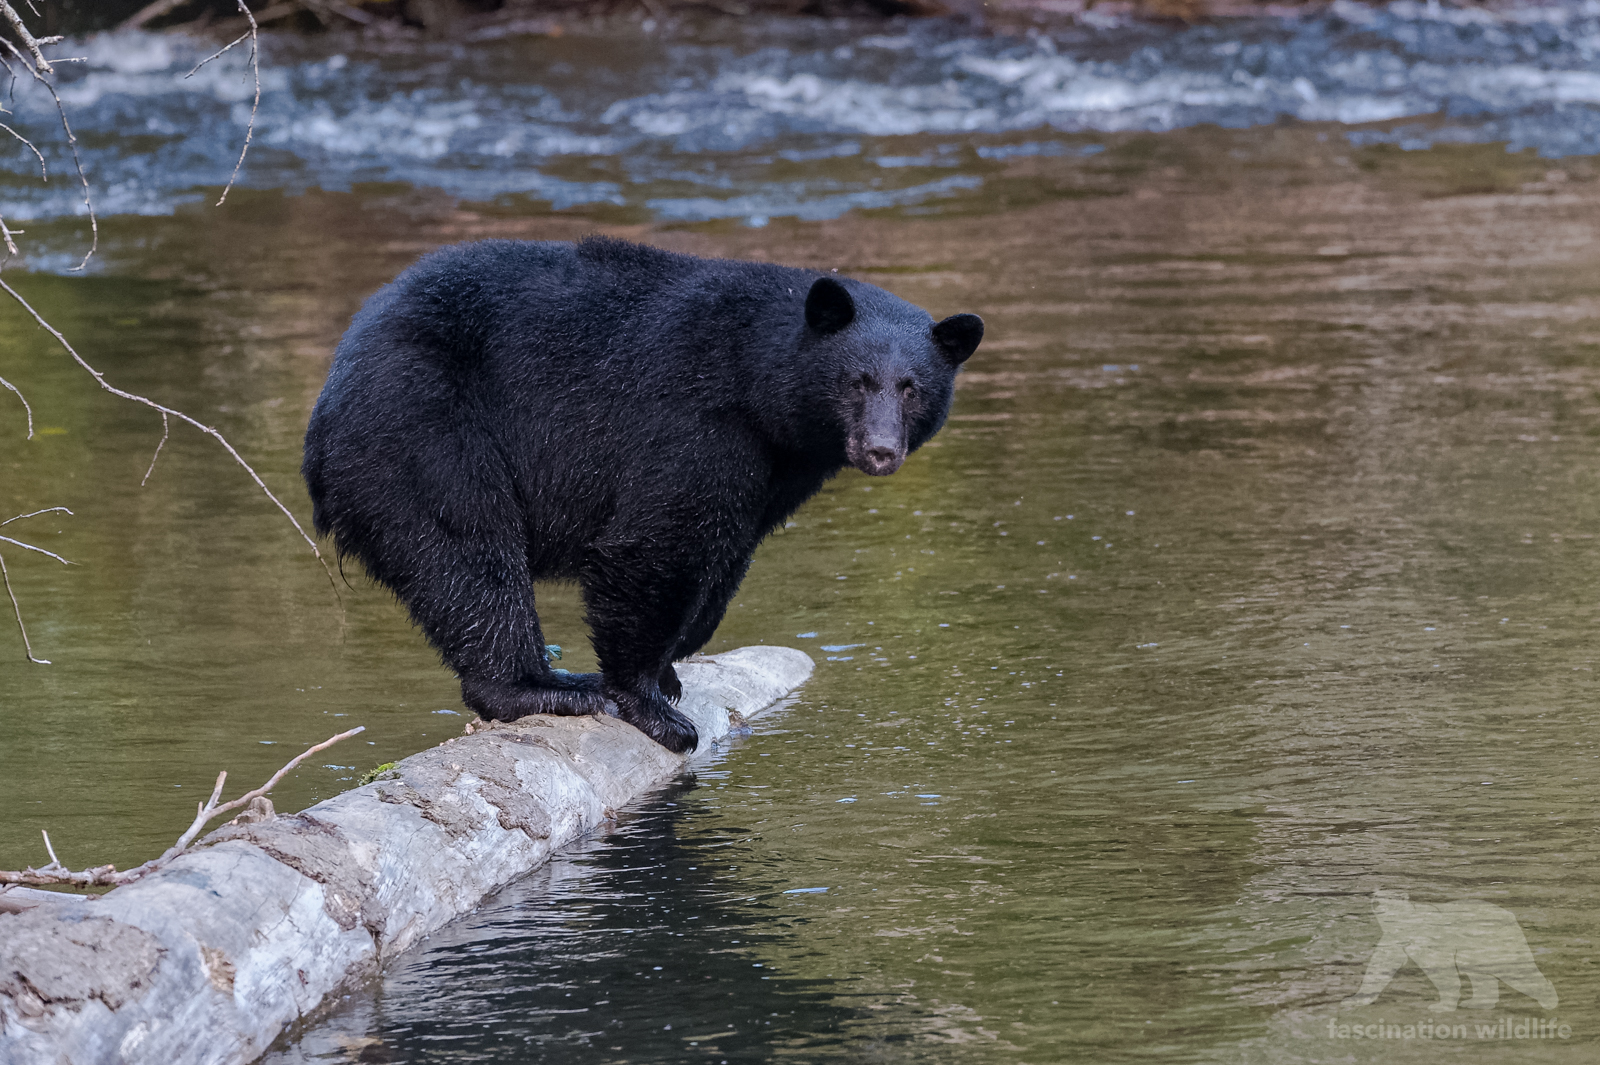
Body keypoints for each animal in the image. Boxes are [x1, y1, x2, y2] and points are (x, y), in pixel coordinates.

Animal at [302, 236, 983, 753]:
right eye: (858, 380)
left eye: (912, 387)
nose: (880, 450)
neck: (758, 380)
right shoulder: (692, 420)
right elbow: (655, 543)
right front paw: (649, 700)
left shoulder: (779, 470)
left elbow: (726, 556)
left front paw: (674, 663)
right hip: (422, 428)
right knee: (467, 551)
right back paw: (543, 686)